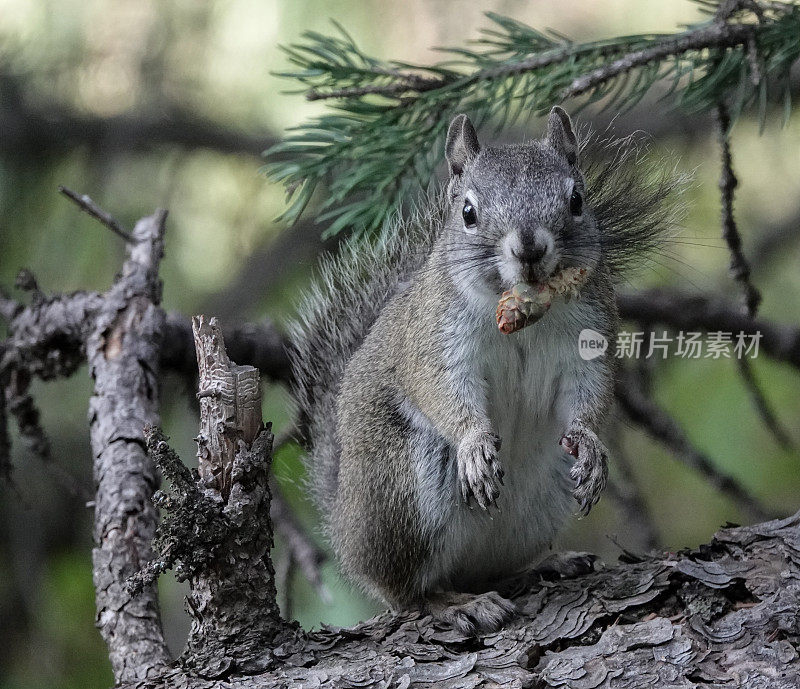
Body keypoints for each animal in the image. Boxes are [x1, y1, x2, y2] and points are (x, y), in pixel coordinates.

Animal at [288, 107, 680, 636]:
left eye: (576, 200)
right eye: (468, 213)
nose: (530, 248)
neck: (526, 312)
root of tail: (345, 528)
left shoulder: (589, 339)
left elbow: (591, 395)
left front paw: (591, 446)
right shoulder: (435, 340)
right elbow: (440, 389)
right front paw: (474, 443)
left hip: (542, 497)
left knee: (490, 569)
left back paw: (544, 564)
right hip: (404, 494)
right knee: (407, 593)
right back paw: (454, 604)